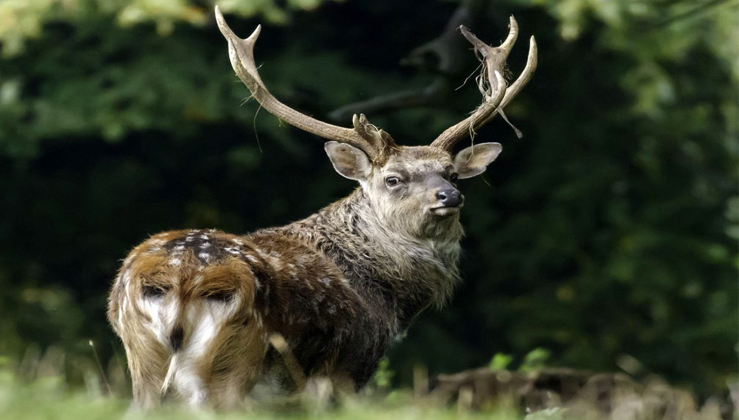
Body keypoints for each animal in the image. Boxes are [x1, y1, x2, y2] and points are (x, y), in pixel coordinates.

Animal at [108, 4, 536, 408]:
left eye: (453, 174)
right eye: (393, 178)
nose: (449, 196)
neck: (390, 299)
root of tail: (179, 276)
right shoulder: (350, 363)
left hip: (143, 361)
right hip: (235, 359)